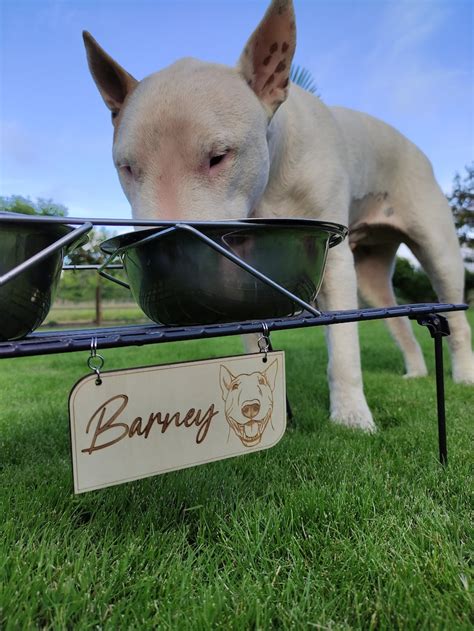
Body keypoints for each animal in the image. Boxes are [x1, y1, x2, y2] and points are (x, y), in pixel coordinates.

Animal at [83, 0, 472, 434]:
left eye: (219, 156)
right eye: (127, 167)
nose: (160, 257)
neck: (272, 178)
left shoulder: (334, 258)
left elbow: (343, 346)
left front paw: (352, 416)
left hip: (438, 246)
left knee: (455, 314)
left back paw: (464, 375)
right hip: (372, 275)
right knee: (397, 317)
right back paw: (417, 372)